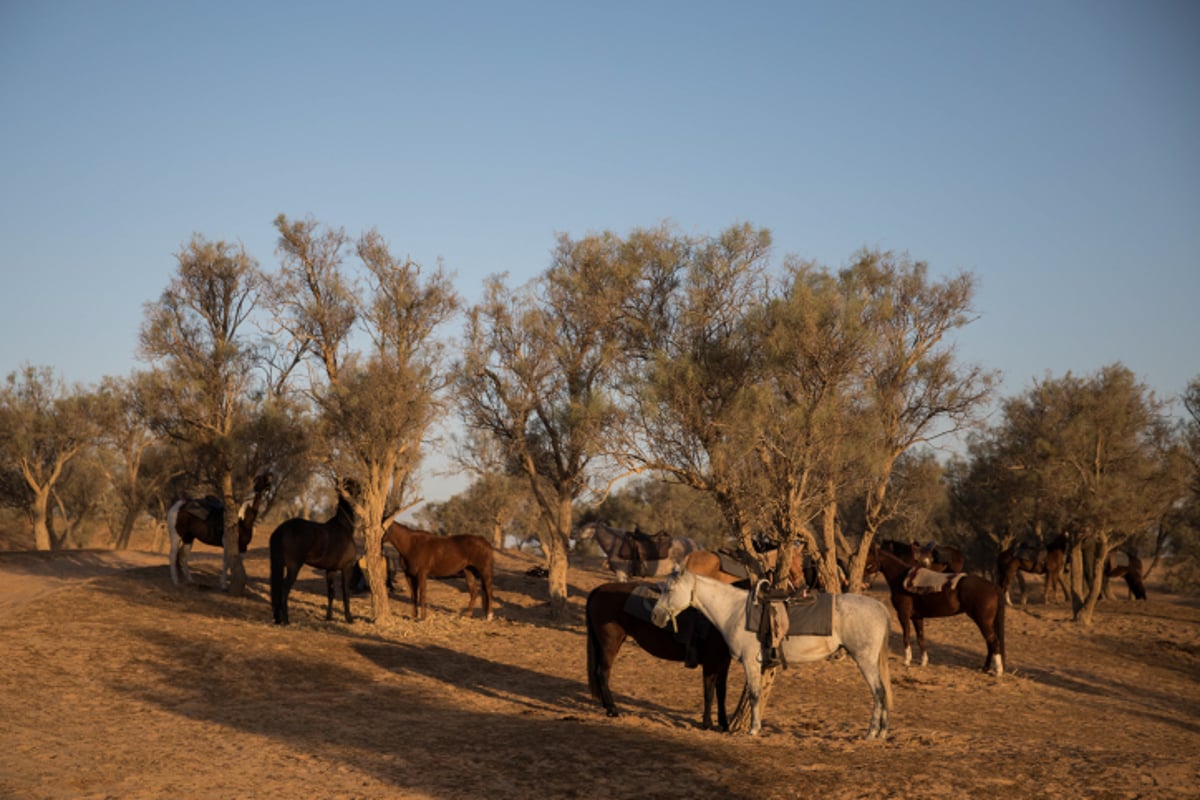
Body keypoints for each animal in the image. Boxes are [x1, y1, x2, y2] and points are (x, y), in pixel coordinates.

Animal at [265, 479, 352, 628]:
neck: (344, 527)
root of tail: (281, 529)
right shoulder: (346, 568)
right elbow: (346, 594)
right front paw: (349, 618)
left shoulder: (331, 570)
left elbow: (331, 593)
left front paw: (329, 617)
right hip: (293, 567)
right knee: (284, 588)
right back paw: (286, 620)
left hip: (278, 564)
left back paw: (278, 618)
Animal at [583, 582, 729, 734]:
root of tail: (599, 589)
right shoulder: (711, 663)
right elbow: (709, 692)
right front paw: (707, 724)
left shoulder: (724, 663)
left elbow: (721, 692)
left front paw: (724, 724)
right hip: (610, 643)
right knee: (602, 673)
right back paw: (612, 709)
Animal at [648, 566, 892, 743]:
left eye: (668, 590)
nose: (655, 617)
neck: (735, 611)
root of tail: (880, 608)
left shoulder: (750, 663)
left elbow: (755, 694)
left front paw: (753, 730)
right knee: (883, 692)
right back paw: (881, 733)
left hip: (865, 660)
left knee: (878, 692)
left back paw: (871, 733)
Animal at [873, 544, 1003, 676]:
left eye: (870, 556)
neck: (901, 578)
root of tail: (994, 587)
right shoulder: (917, 617)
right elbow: (921, 637)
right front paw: (923, 661)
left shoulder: (903, 615)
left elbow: (906, 635)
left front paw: (907, 661)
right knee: (989, 643)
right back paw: (985, 668)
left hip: (983, 621)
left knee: (993, 641)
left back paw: (998, 671)